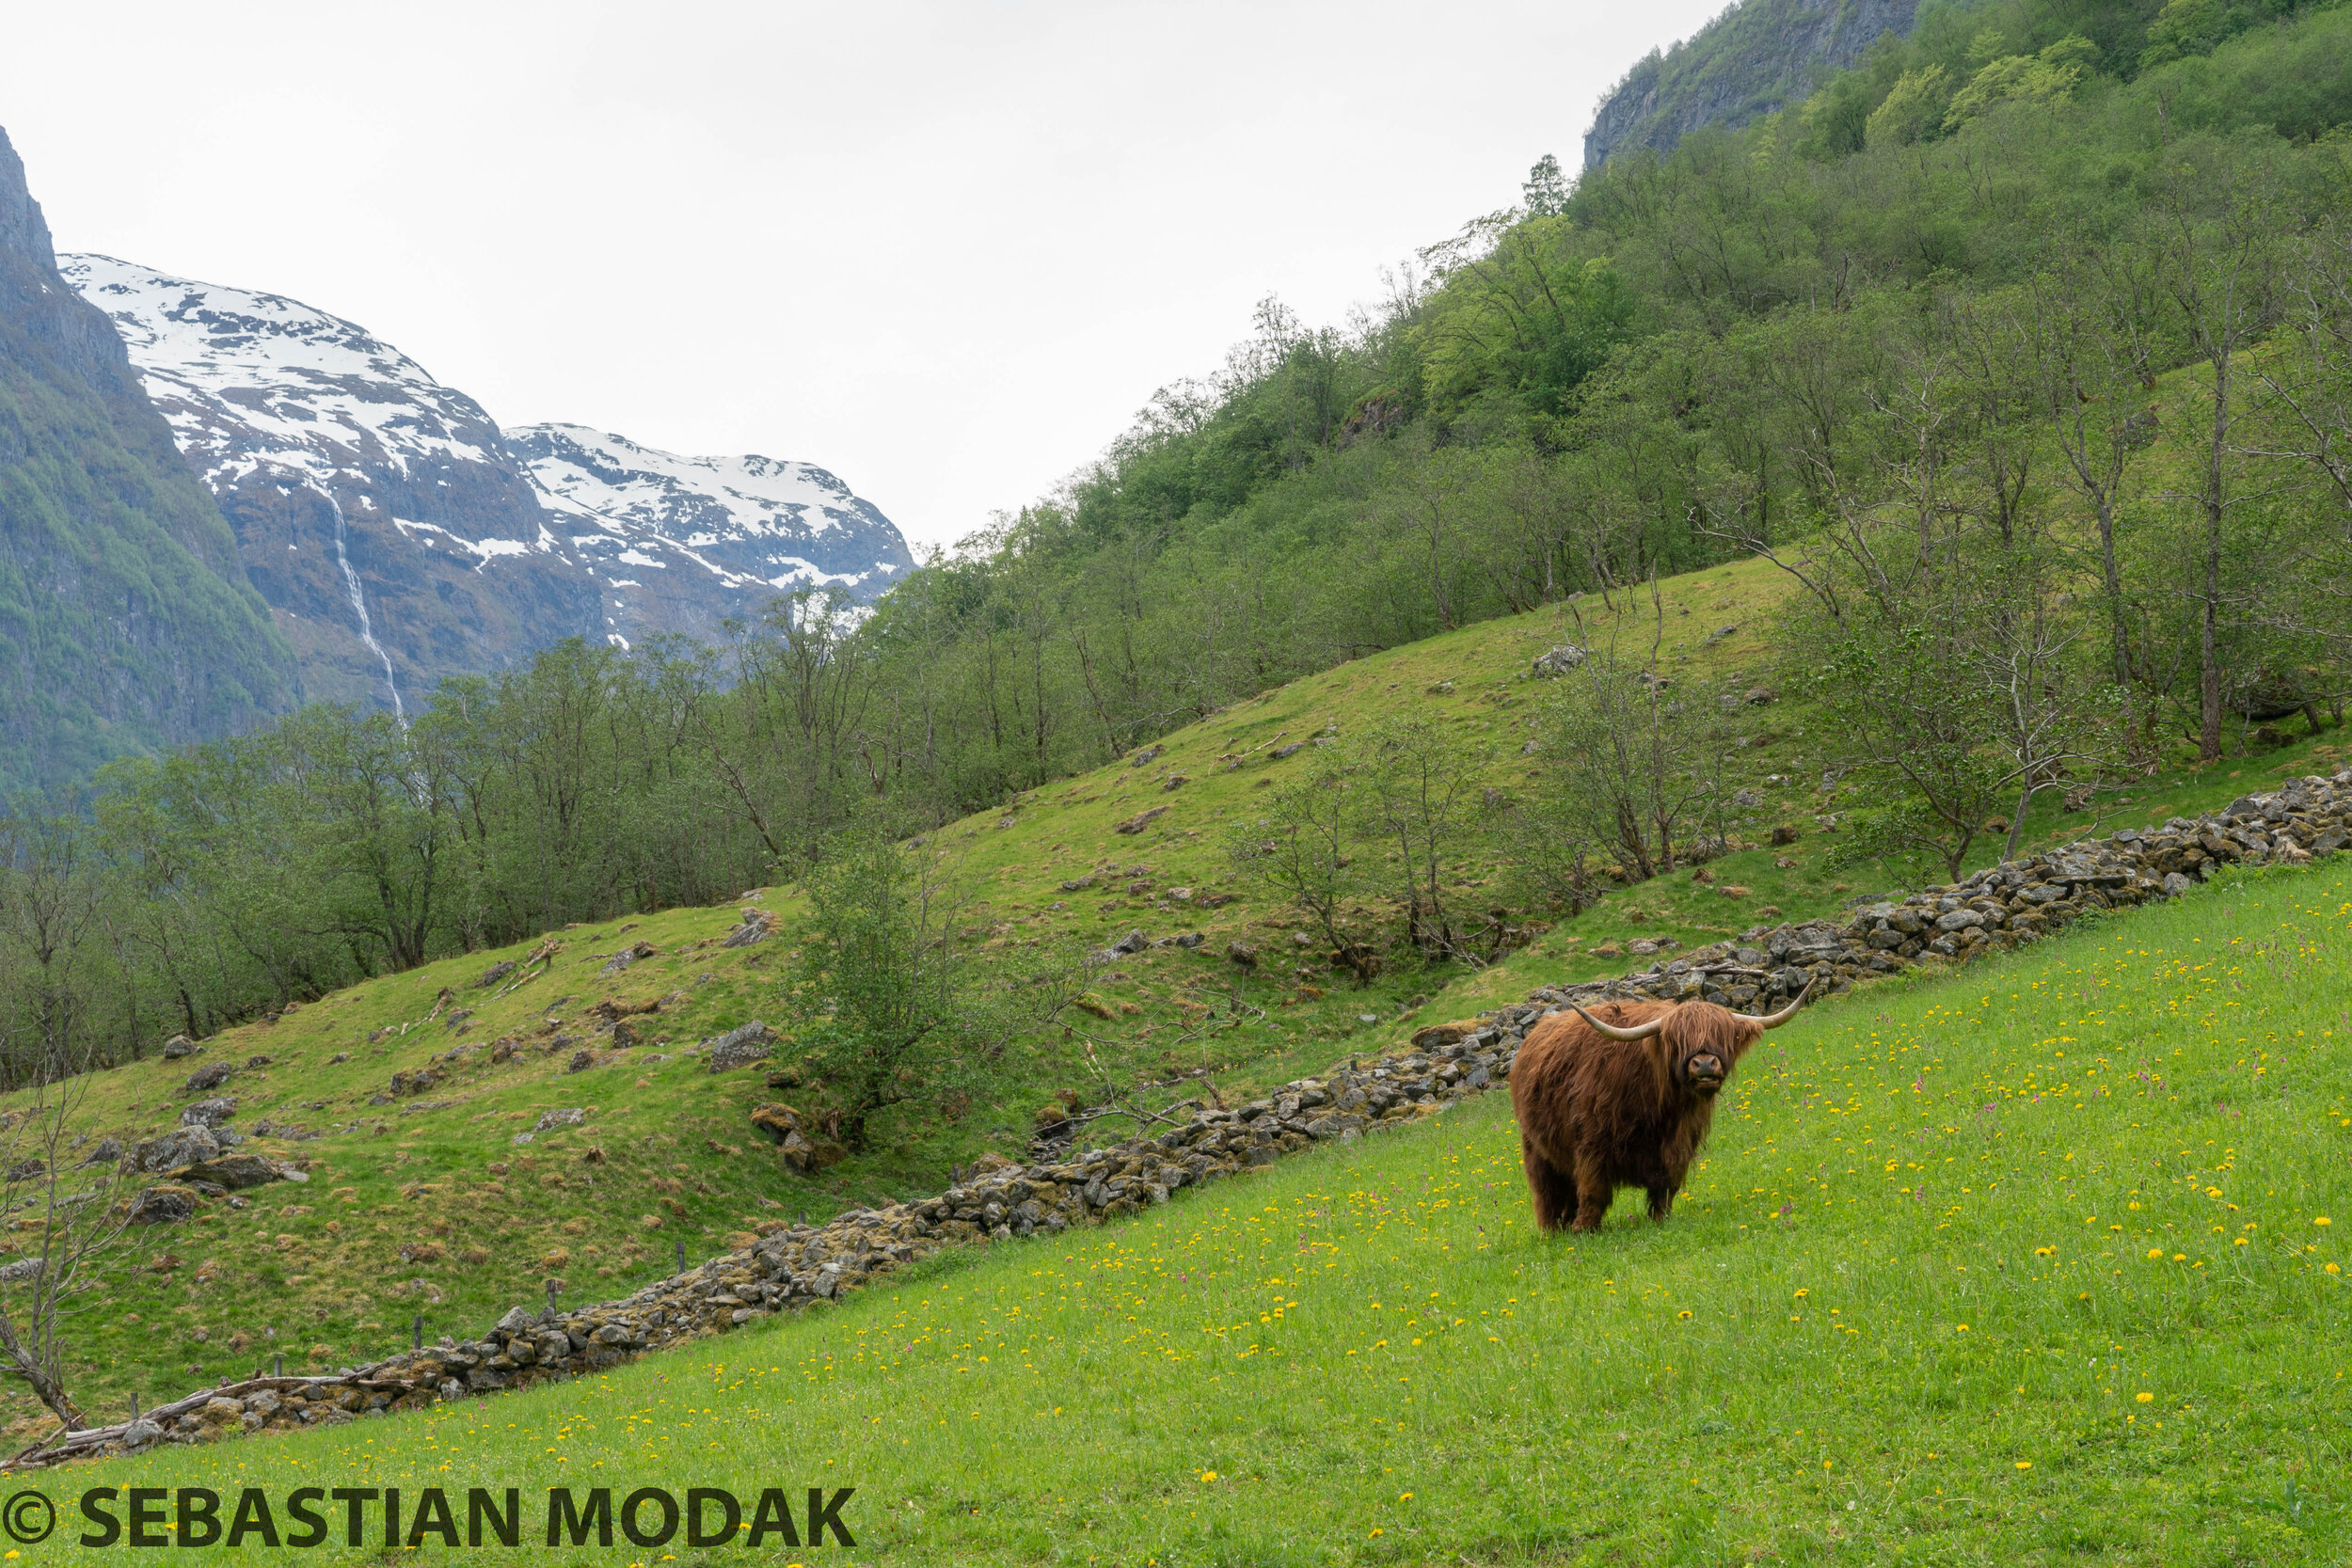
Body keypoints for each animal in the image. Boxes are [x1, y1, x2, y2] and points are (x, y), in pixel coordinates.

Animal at [1505, 987, 1816, 1231]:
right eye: (1678, 1040)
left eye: (1723, 1035)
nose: (1704, 1064)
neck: (1660, 1107)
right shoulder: (1593, 1142)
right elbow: (1594, 1189)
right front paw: (1585, 1229)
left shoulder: (1679, 1144)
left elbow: (1666, 1188)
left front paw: (1659, 1219)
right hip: (1535, 1147)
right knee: (1547, 1192)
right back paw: (1554, 1231)